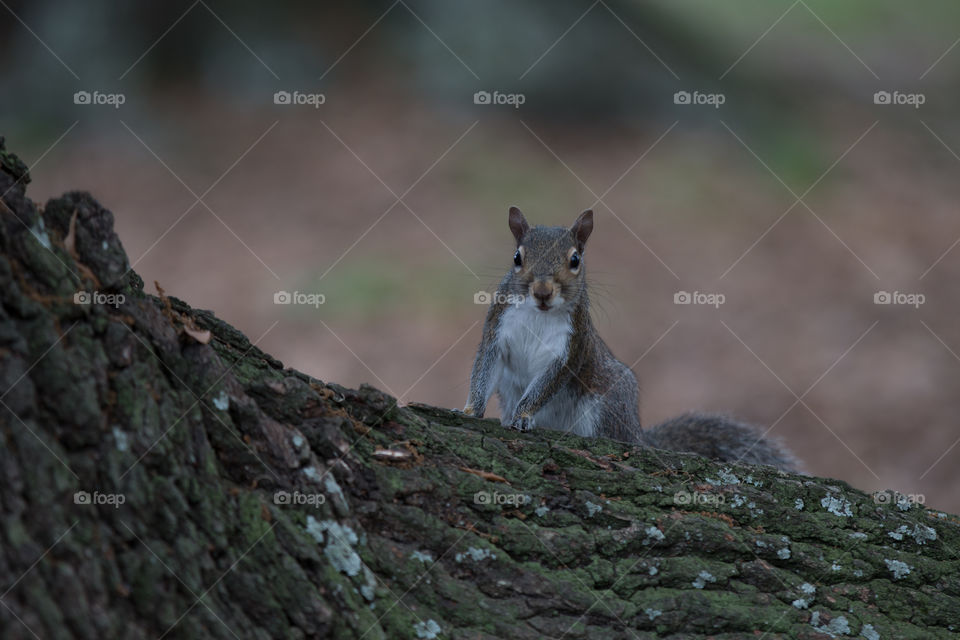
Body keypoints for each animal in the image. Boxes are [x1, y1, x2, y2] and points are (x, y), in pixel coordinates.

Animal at [463, 207, 800, 472]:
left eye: (575, 260)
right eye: (517, 258)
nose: (543, 292)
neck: (539, 314)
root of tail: (639, 434)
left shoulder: (571, 347)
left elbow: (548, 383)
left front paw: (523, 416)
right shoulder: (496, 330)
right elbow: (484, 369)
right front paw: (470, 410)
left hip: (608, 405)